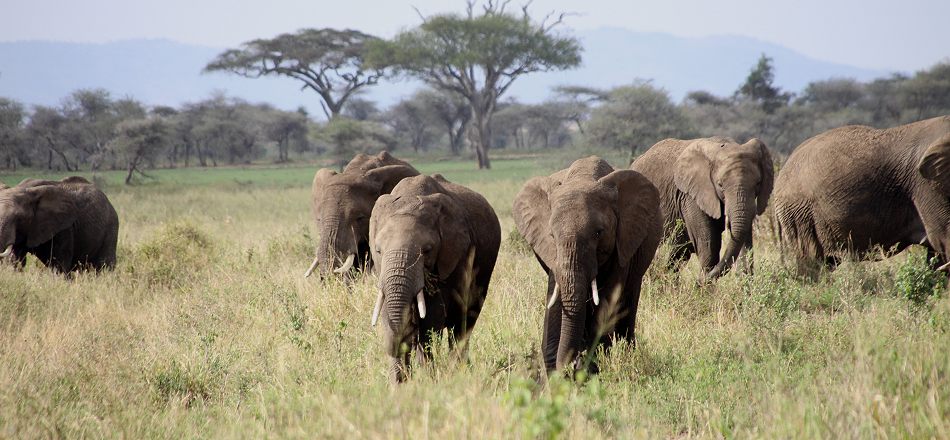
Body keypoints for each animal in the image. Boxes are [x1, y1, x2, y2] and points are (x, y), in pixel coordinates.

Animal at [368, 173, 502, 382]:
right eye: (379, 250)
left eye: (427, 250)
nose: (394, 348)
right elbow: (389, 315)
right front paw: (399, 385)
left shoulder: (455, 255)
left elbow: (432, 317)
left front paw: (428, 380)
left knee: (462, 324)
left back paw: (459, 371)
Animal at [512, 156, 660, 372]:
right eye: (552, 236)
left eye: (599, 233)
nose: (574, 363)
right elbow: (556, 299)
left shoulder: (622, 242)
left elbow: (607, 302)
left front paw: (591, 366)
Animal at [632, 136, 772, 278]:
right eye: (720, 185)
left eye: (758, 183)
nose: (697, 281)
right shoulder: (690, 196)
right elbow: (708, 244)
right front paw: (704, 283)